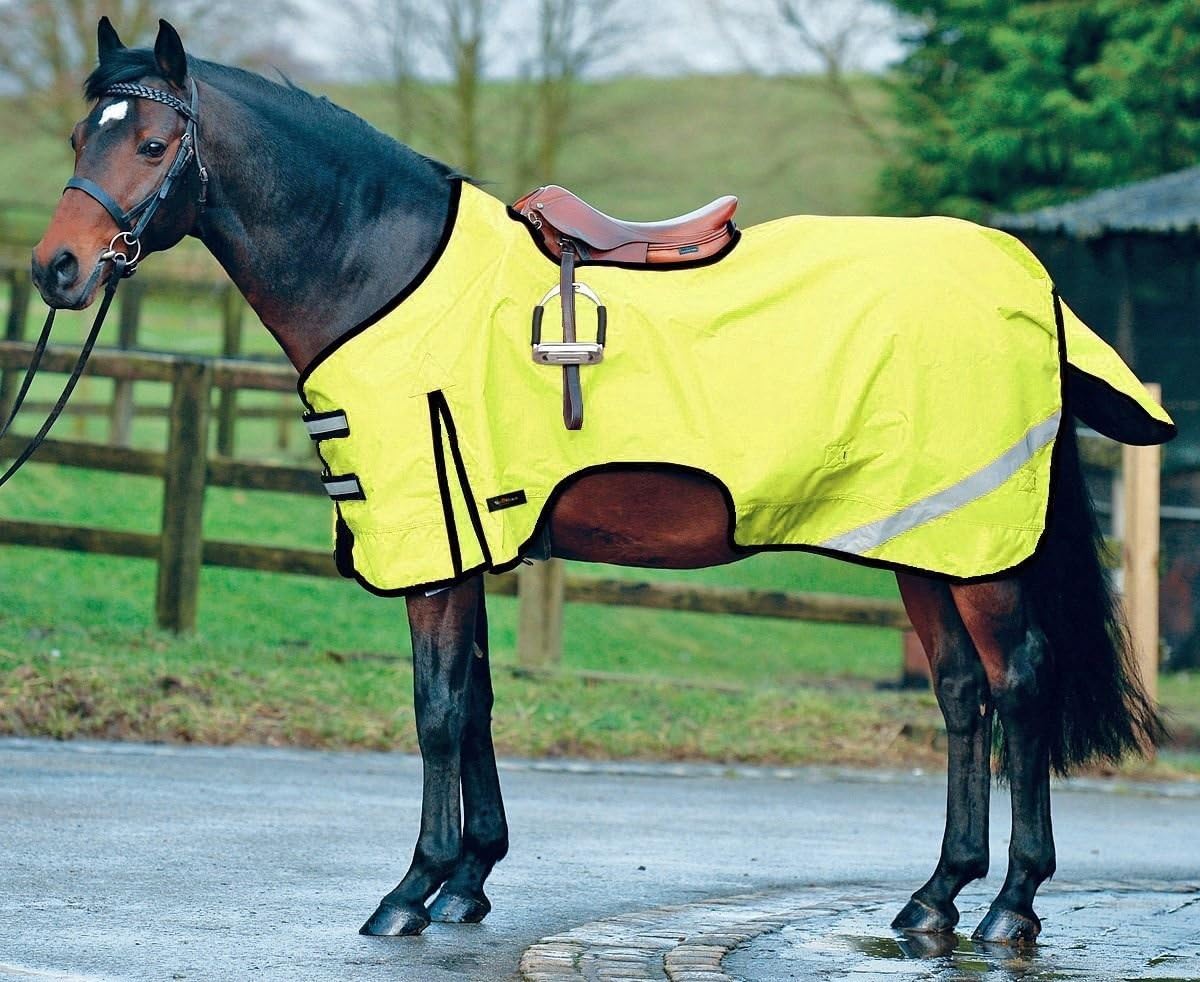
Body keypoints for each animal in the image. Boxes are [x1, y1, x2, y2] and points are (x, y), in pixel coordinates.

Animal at [29, 18, 1170, 947]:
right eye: (81, 137)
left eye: (151, 143)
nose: (56, 270)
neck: (380, 272)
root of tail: (1028, 280)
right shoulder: (472, 537)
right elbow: (477, 698)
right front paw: (469, 879)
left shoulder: (432, 547)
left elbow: (437, 707)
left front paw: (411, 890)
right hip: (921, 542)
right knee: (963, 695)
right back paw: (937, 896)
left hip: (979, 556)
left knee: (1019, 687)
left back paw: (1012, 904)